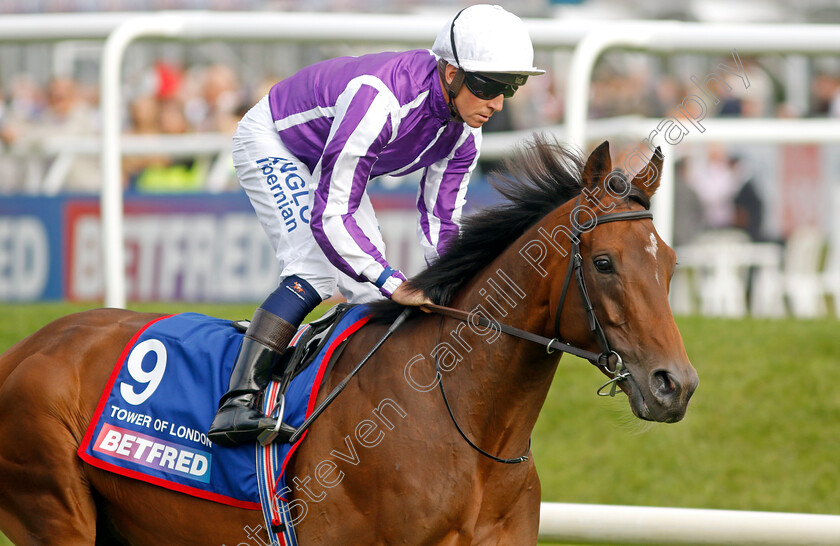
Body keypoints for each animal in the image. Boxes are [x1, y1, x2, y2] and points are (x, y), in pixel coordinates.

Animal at [0, 138, 696, 540]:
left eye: (669, 264)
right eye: (604, 263)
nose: (676, 385)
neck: (468, 430)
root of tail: (24, 349)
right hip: (53, 509)